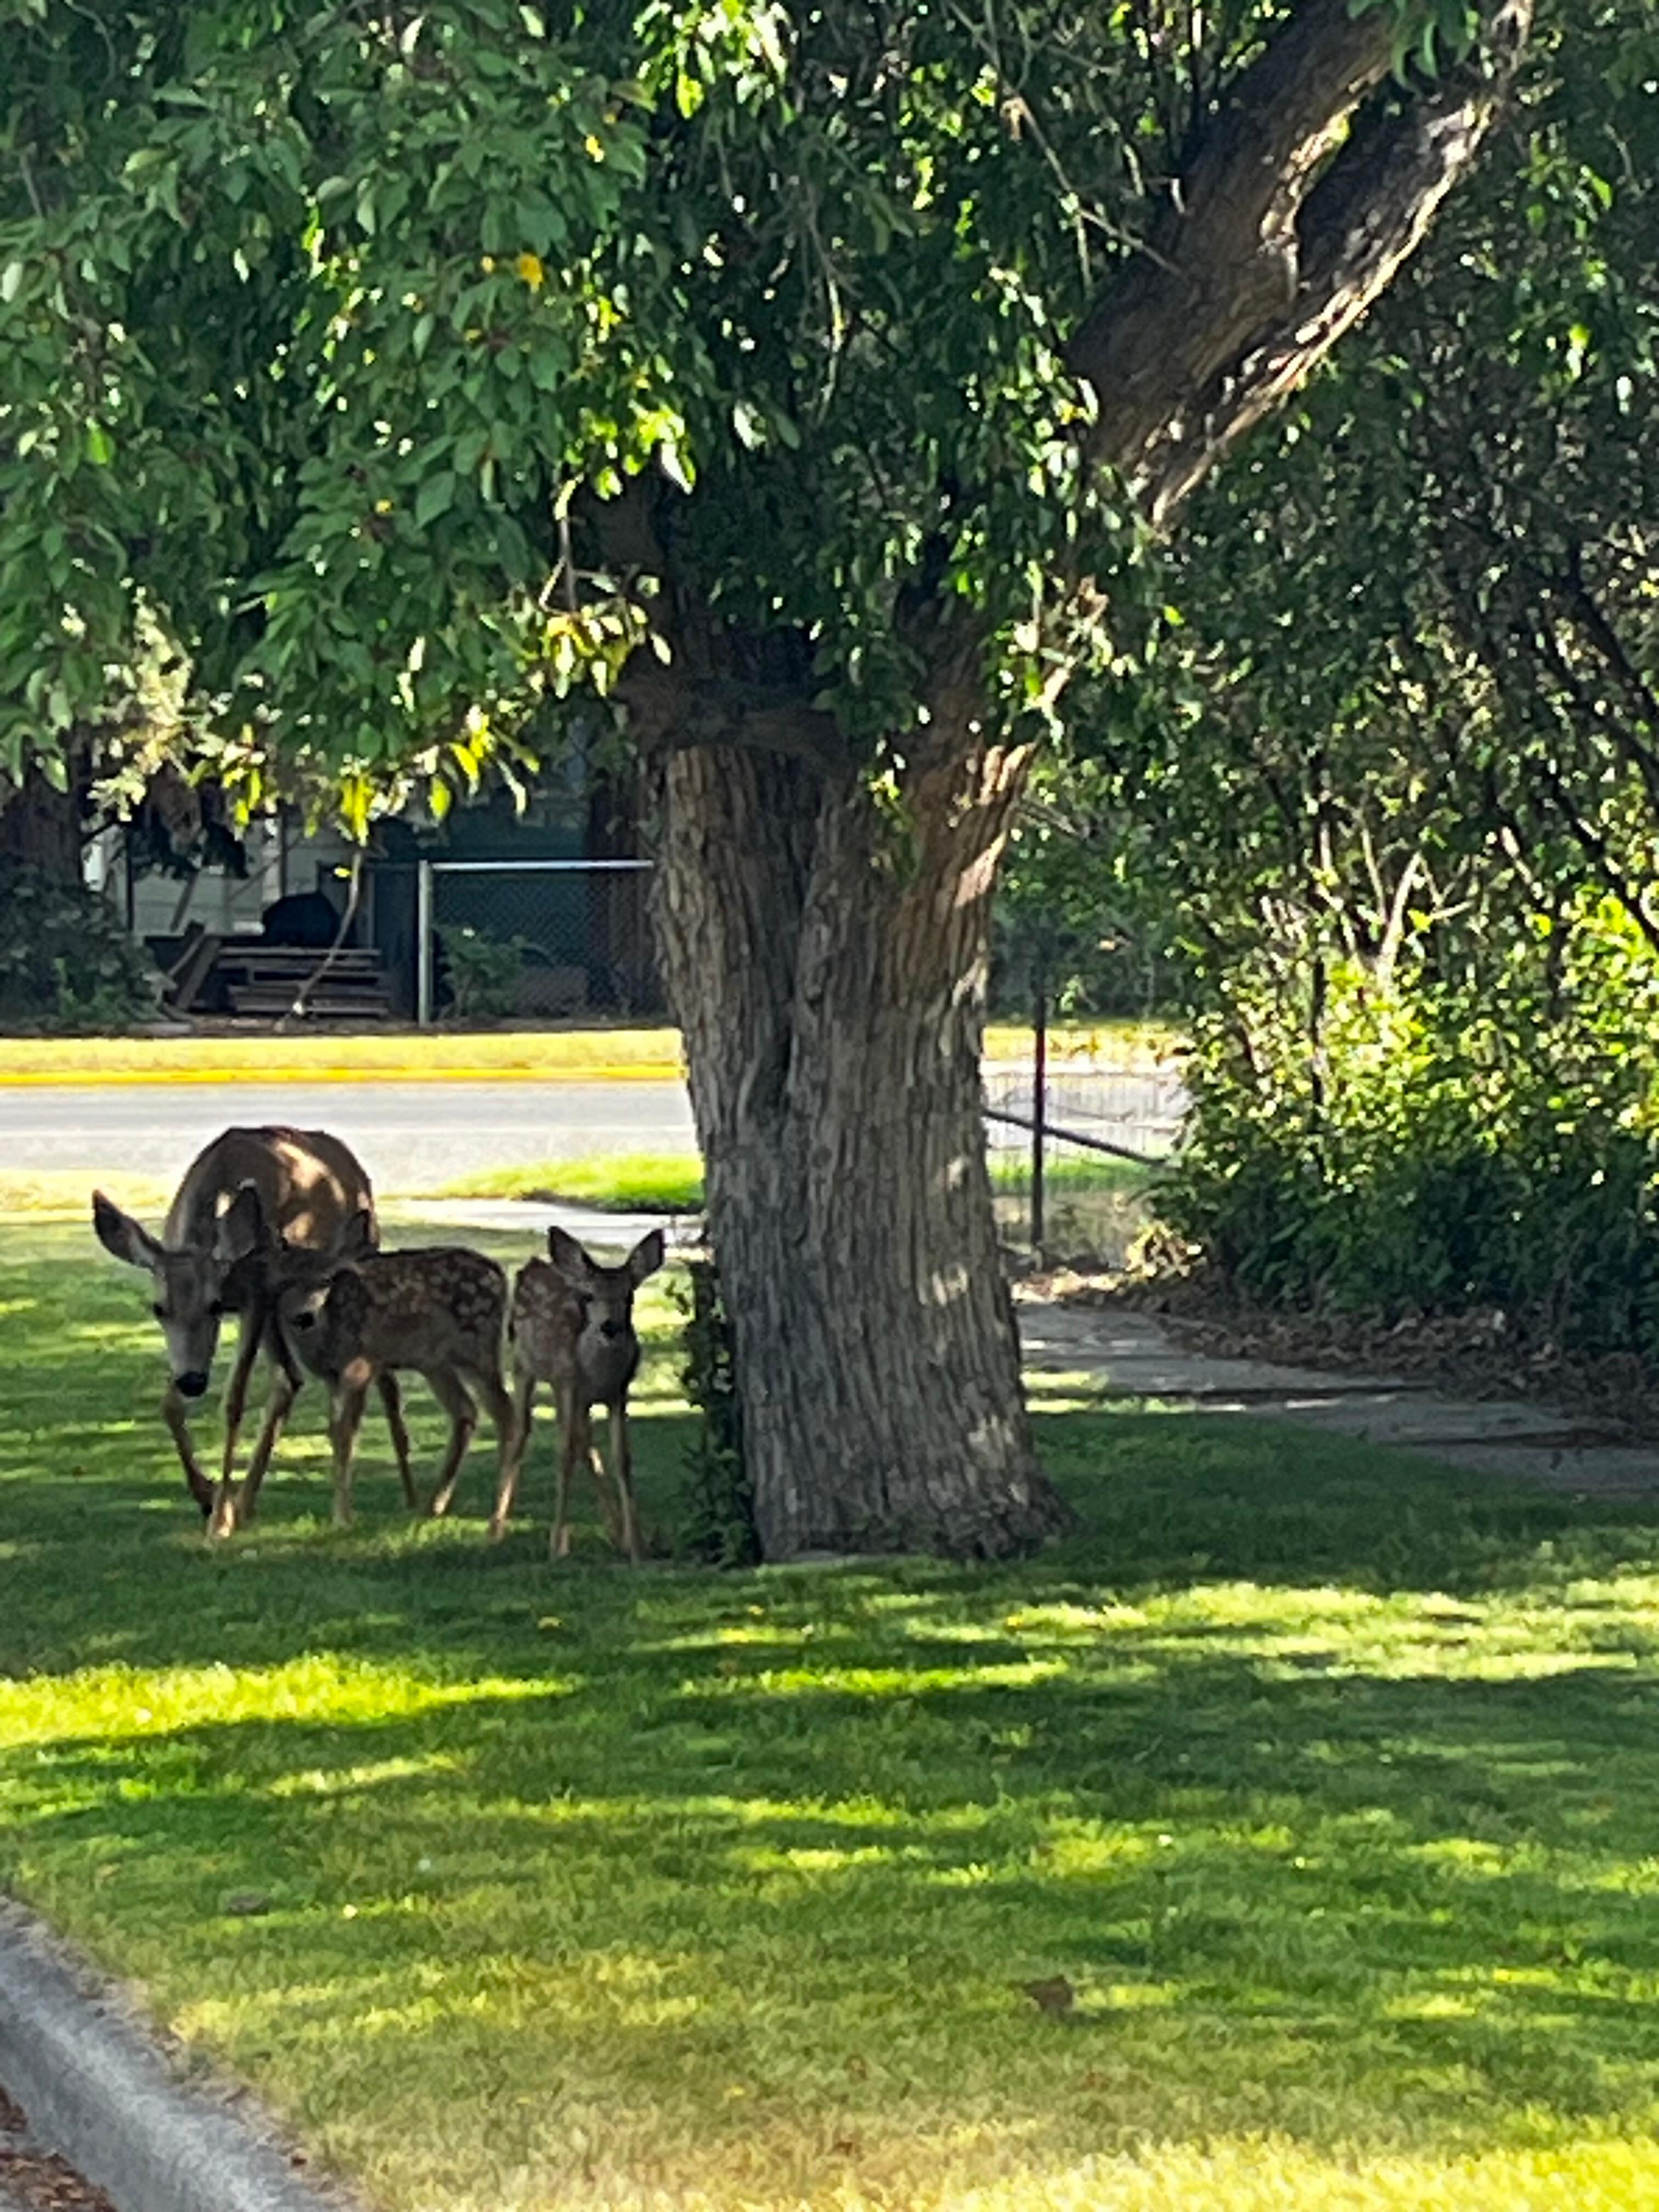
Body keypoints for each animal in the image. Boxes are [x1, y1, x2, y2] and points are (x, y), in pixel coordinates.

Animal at [92, 1126, 414, 1535]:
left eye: (214, 1305)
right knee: (292, 1378)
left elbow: (234, 1402)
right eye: (159, 1309)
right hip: (287, 1308)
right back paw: (244, 1504)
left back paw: (410, 1497)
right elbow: (169, 1403)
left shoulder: (256, 1295)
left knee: (372, 1374)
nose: (193, 1381)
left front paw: (218, 1521)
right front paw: (207, 1495)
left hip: (350, 1264)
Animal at [235, 1204, 519, 1527]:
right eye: (287, 1283)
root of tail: (500, 1274)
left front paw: (343, 1518)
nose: (304, 1316)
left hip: (478, 1348)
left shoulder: (360, 1365)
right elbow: (335, 1432)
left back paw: (497, 1512)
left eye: (326, 1280)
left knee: (506, 1413)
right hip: (434, 1362)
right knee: (466, 1411)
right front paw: (343, 1513)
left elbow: (346, 1434)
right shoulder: (333, 1377)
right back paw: (434, 1505)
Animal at [490, 1225, 664, 1561]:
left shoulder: (618, 1392)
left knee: (586, 1445)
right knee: (521, 1433)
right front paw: (555, 1549)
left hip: (569, 1395)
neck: (598, 1375)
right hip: (524, 1364)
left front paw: (638, 1549)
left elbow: (622, 1458)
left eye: (629, 1295)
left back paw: (617, 1535)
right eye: (589, 1296)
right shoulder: (569, 1383)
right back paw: (496, 1531)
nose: (610, 1327)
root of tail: (532, 1265)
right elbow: (564, 1457)